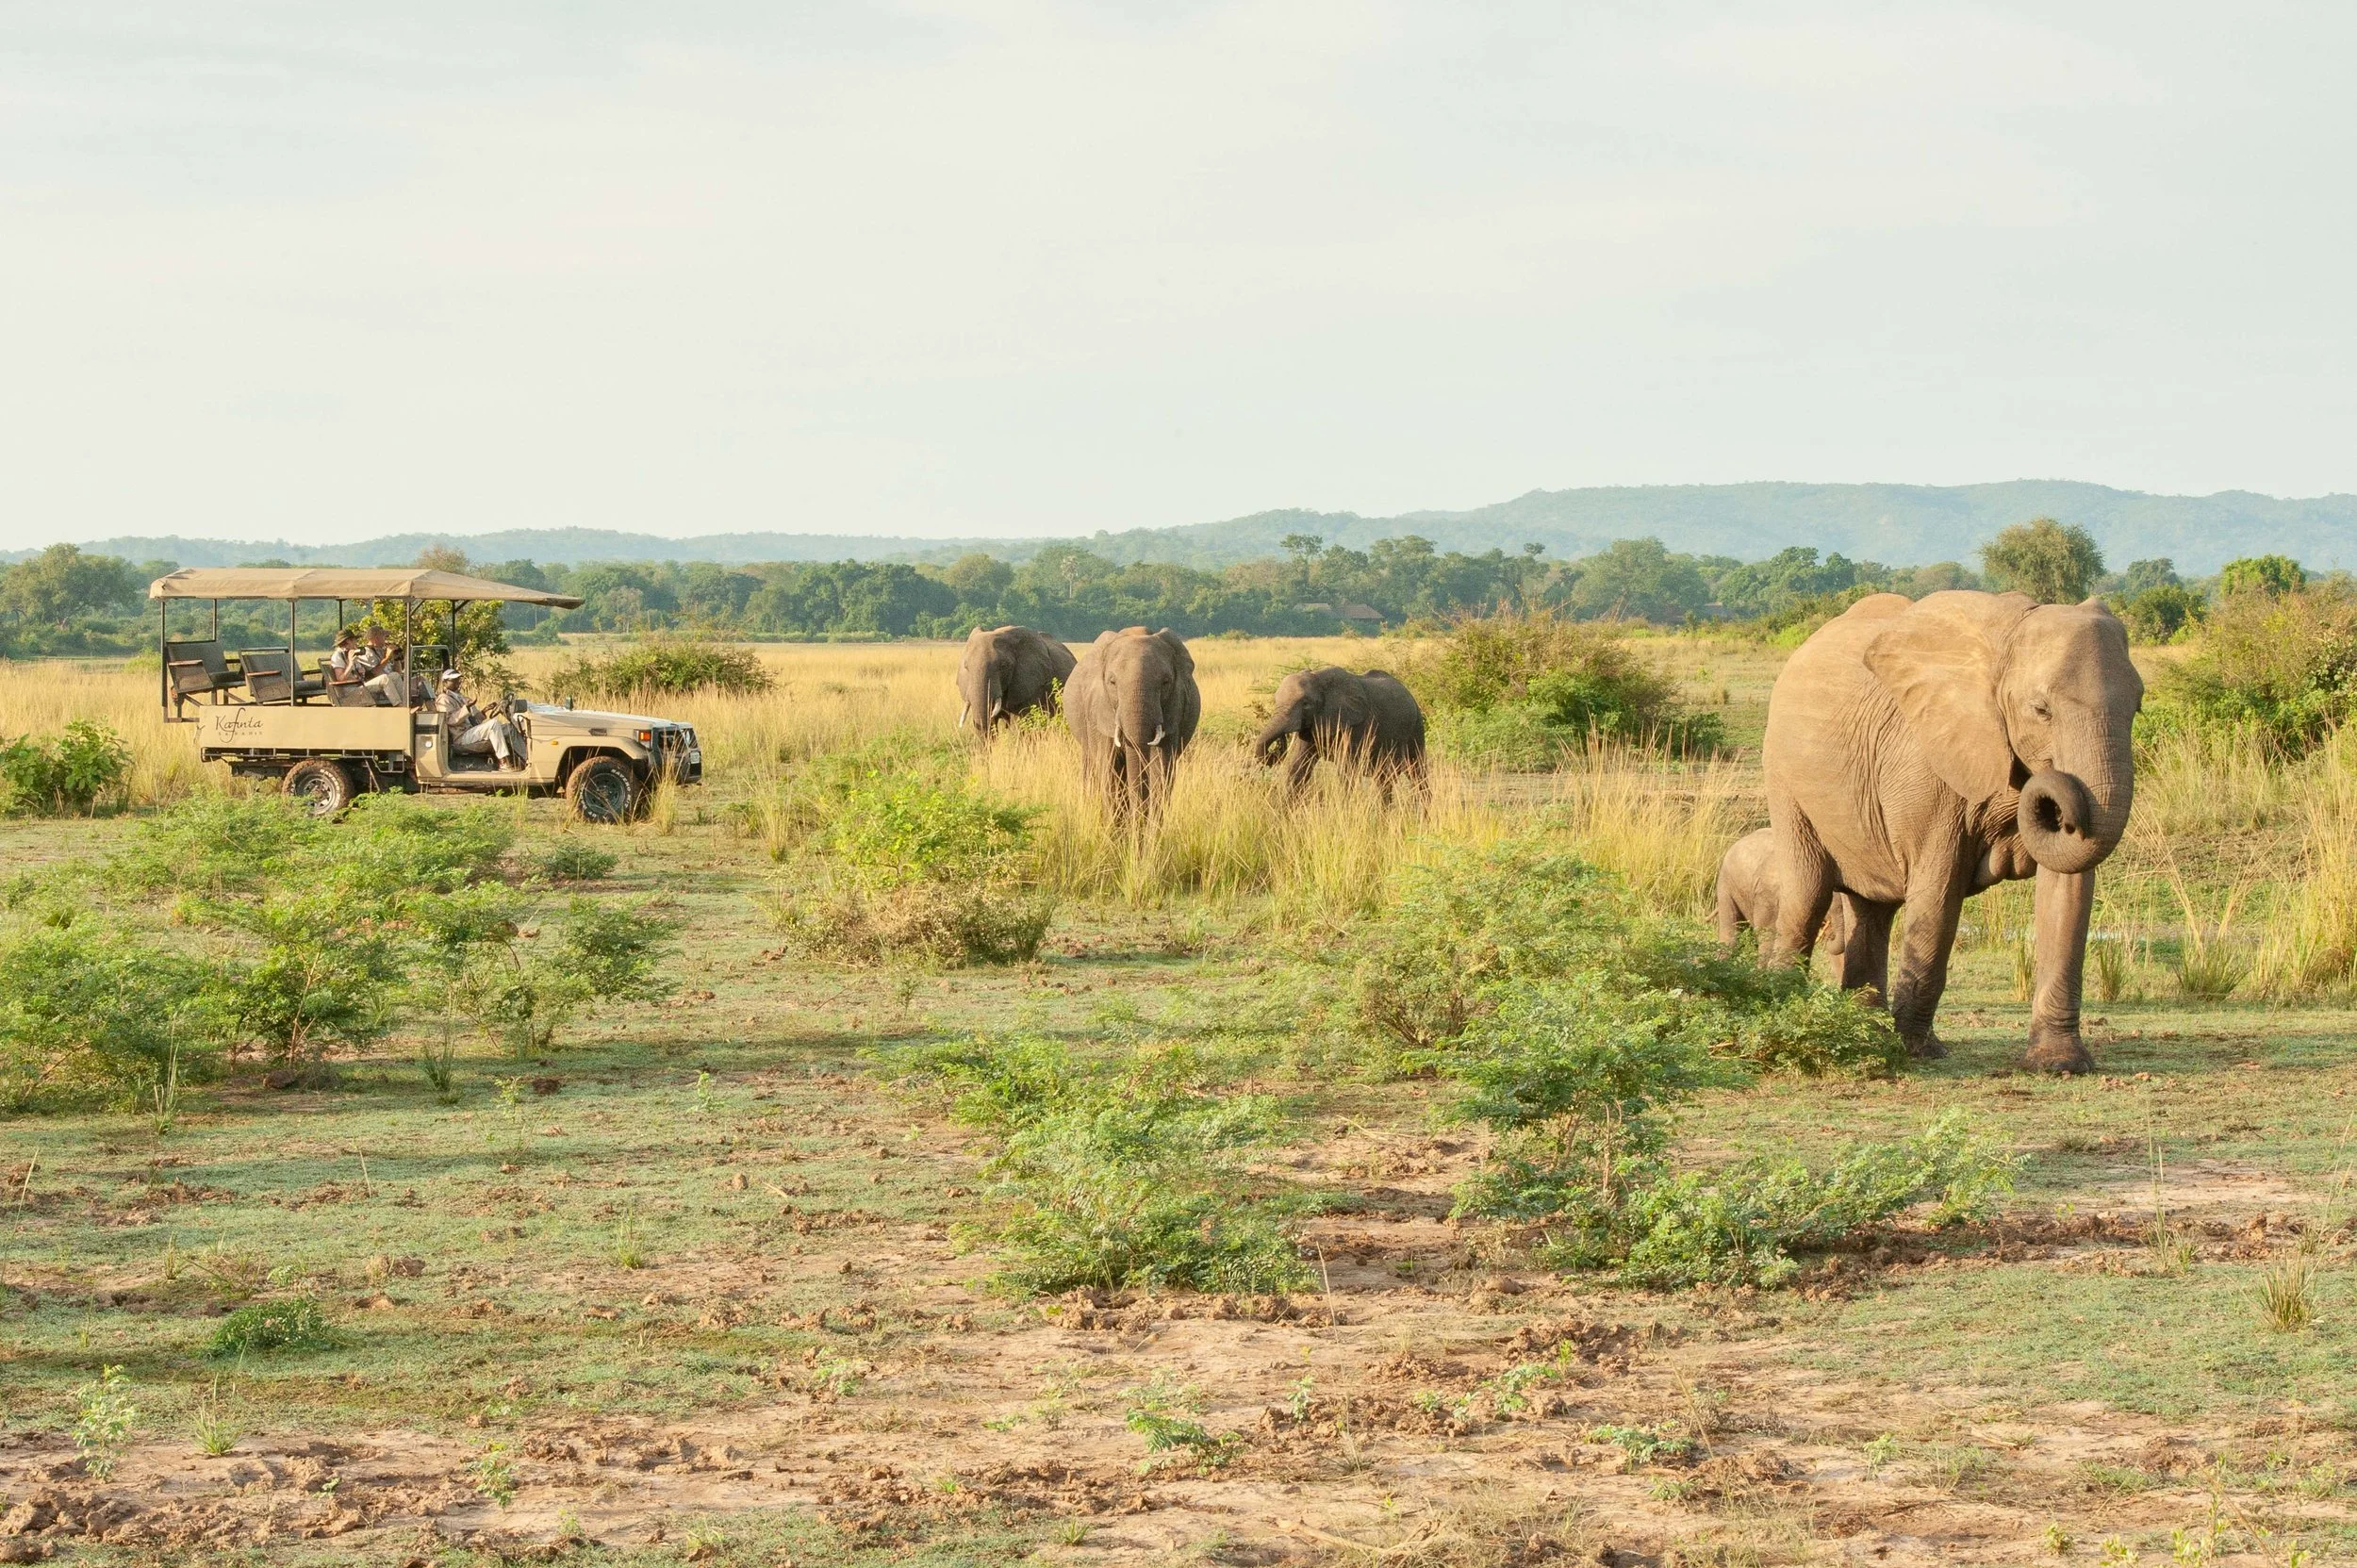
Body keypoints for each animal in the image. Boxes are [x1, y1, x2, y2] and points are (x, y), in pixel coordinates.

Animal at [1063, 627, 1201, 816]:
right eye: (1112, 682)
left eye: (1166, 682)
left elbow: (1160, 770)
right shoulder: (1098, 709)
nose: (1138, 816)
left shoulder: (1175, 707)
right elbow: (1110, 771)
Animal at [1252, 667, 1426, 795]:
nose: (1280, 743)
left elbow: (1346, 772)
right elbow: (1298, 767)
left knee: (1417, 773)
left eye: (1306, 704)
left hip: (1416, 728)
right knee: (1384, 780)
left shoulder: (1358, 726)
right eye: (1275, 701)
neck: (1320, 679)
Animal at [1760, 590, 2141, 1073]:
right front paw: (1917, 1051)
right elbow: (1938, 894)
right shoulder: (1926, 767)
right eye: (2041, 710)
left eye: (2137, 707)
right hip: (1784, 780)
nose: (2054, 793)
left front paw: (2059, 1065)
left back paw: (1865, 1033)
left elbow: (2067, 893)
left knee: (1872, 910)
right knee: (1807, 897)